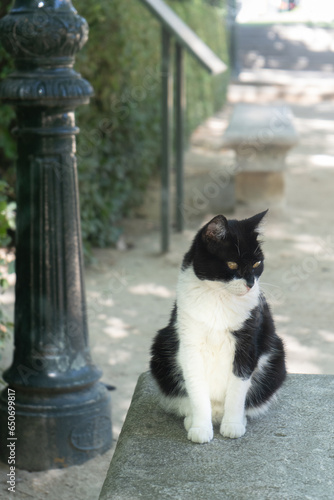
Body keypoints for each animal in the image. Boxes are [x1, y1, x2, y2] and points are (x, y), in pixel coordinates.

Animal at [150, 209, 286, 444]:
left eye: (256, 264)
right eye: (232, 264)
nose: (250, 284)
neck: (219, 298)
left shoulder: (247, 343)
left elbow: (238, 387)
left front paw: (232, 425)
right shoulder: (190, 342)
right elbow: (196, 388)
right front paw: (200, 428)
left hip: (276, 359)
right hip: (162, 348)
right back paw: (192, 418)